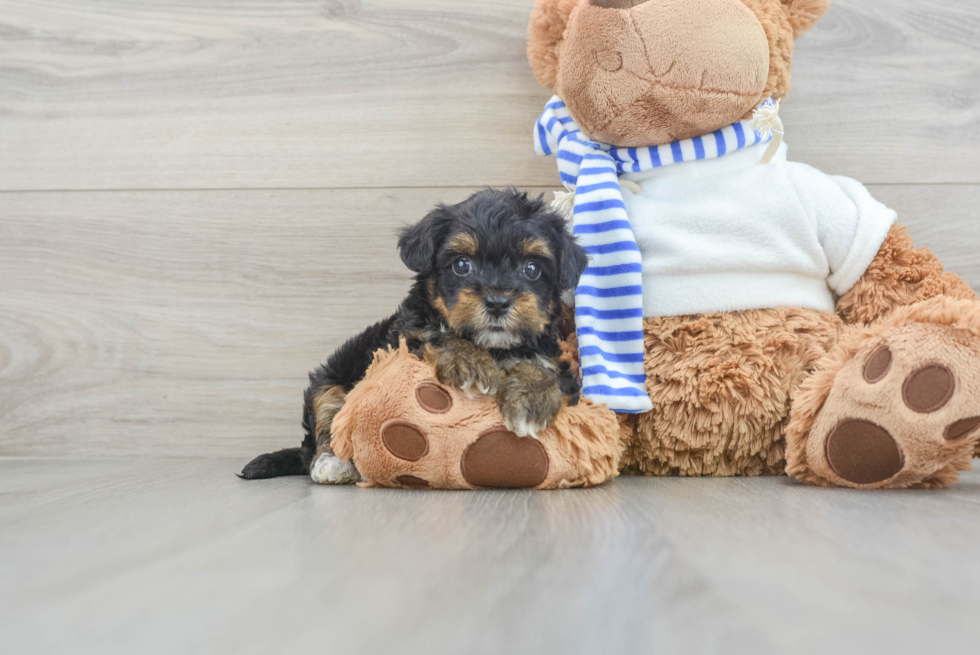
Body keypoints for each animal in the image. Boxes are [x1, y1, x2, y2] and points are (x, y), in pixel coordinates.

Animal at [240, 187, 584, 484]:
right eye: (462, 265)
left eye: (531, 268)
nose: (498, 301)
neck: (494, 347)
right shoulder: (405, 340)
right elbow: (439, 335)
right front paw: (471, 363)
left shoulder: (553, 359)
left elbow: (547, 372)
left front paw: (530, 400)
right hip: (331, 376)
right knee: (325, 421)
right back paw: (332, 463)